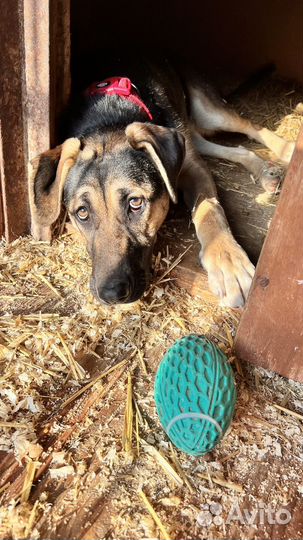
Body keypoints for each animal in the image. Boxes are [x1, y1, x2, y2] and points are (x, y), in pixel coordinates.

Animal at [28, 59, 294, 308]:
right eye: (82, 213)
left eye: (135, 203)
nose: (111, 294)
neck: (109, 120)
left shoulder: (193, 167)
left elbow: (209, 210)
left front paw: (228, 261)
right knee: (234, 147)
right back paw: (266, 173)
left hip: (208, 112)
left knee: (250, 126)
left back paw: (289, 149)